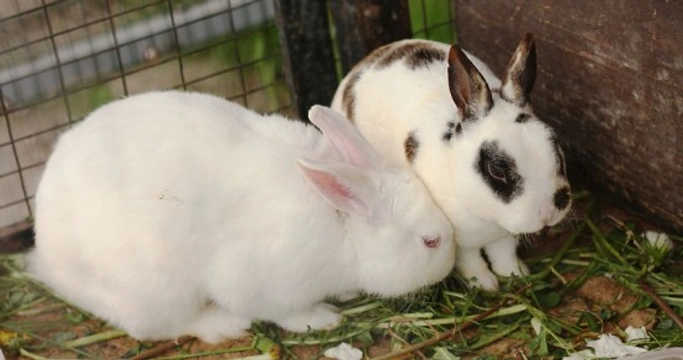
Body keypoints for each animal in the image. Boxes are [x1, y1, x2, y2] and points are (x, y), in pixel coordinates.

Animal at [28, 90, 454, 344]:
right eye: (429, 241)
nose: (451, 262)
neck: (342, 226)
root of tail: (47, 257)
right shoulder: (260, 282)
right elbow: (285, 312)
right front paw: (322, 319)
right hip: (156, 290)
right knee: (162, 326)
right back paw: (224, 324)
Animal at [332, 33, 572, 290]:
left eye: (554, 143)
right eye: (496, 169)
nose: (549, 211)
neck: (488, 215)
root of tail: (365, 61)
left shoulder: (503, 235)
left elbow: (503, 253)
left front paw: (515, 274)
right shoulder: (459, 240)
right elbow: (470, 260)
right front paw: (484, 284)